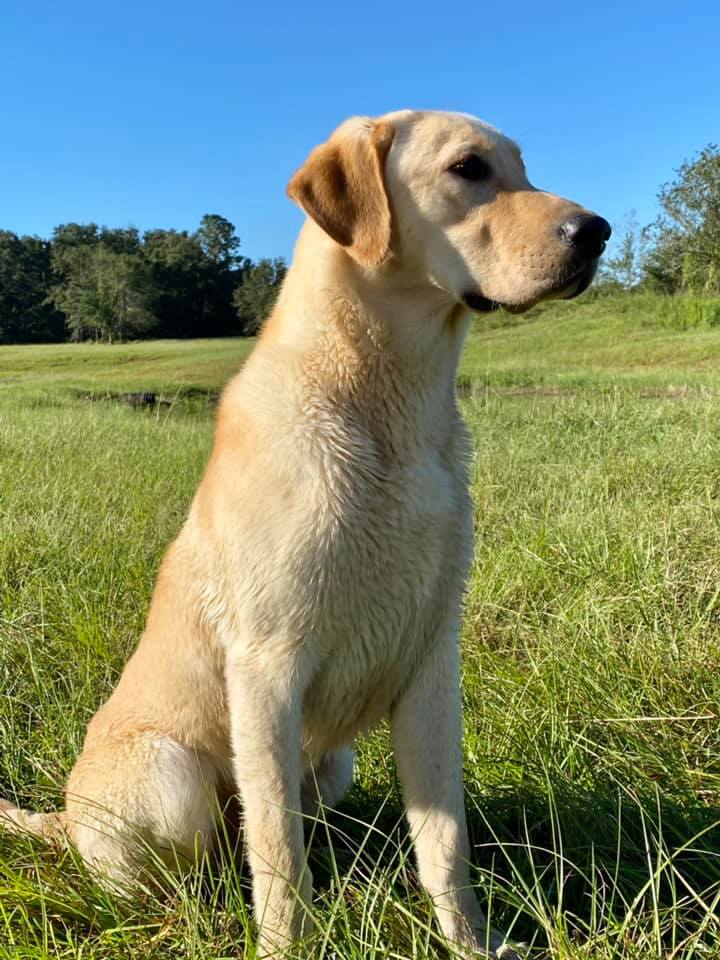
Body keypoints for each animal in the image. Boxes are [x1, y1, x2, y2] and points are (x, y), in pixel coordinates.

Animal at [1, 110, 608, 960]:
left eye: (523, 167)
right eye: (469, 168)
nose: (598, 231)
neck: (390, 410)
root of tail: (62, 818)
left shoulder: (431, 665)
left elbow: (444, 842)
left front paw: (470, 942)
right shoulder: (266, 670)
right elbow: (280, 855)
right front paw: (288, 944)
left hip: (335, 763)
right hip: (174, 774)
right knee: (182, 876)